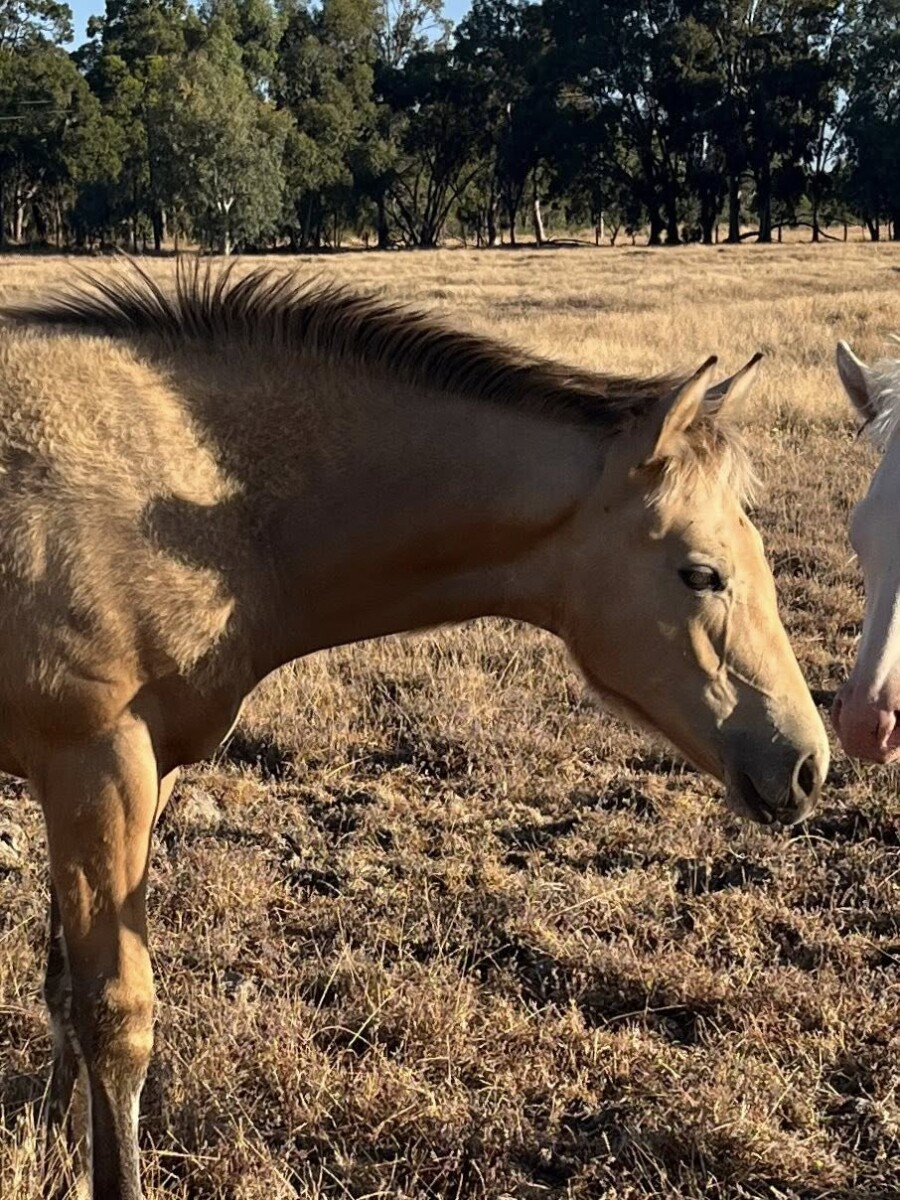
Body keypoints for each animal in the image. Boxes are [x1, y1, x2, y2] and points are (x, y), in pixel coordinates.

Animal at [0, 262, 828, 1199]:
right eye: (701, 573)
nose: (805, 762)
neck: (190, 488)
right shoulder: (96, 768)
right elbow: (117, 1017)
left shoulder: (140, 776)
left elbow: (65, 989)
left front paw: (57, 1148)